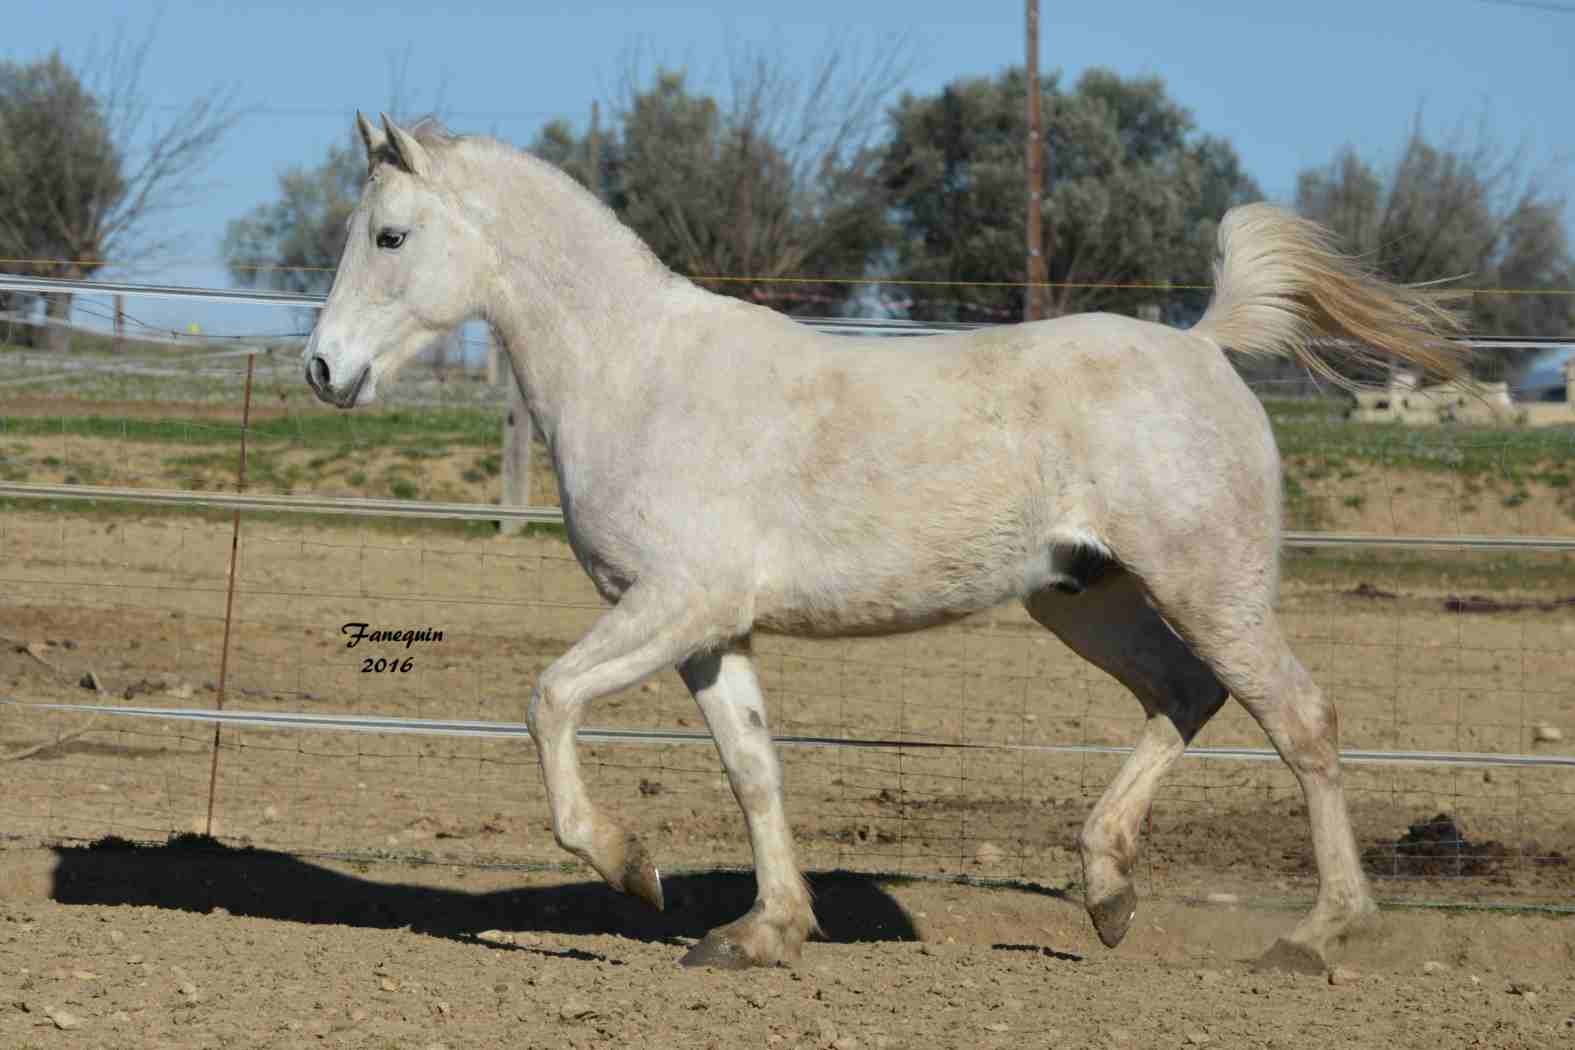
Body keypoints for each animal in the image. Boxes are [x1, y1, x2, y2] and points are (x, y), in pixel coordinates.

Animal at [297, 113, 1461, 969]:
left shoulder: (676, 604)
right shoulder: (709, 633)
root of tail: (1203, 347)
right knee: (1184, 695)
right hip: (1086, 597)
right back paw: (1107, 891)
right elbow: (753, 769)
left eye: (389, 237)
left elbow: (547, 701)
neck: (639, 373)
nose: (322, 370)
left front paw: (632, 868)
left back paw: (1313, 937)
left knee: (1300, 721)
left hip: (1208, 588)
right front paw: (762, 932)